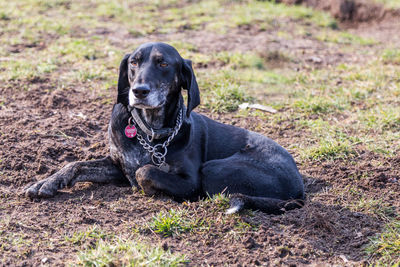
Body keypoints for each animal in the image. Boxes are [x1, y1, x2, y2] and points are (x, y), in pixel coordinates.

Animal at [26, 43, 304, 215]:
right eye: (134, 63)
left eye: (163, 64)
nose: (139, 91)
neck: (150, 132)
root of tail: (299, 189)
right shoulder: (118, 165)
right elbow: (76, 165)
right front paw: (46, 182)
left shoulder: (190, 181)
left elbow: (146, 171)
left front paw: (152, 190)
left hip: (214, 169)